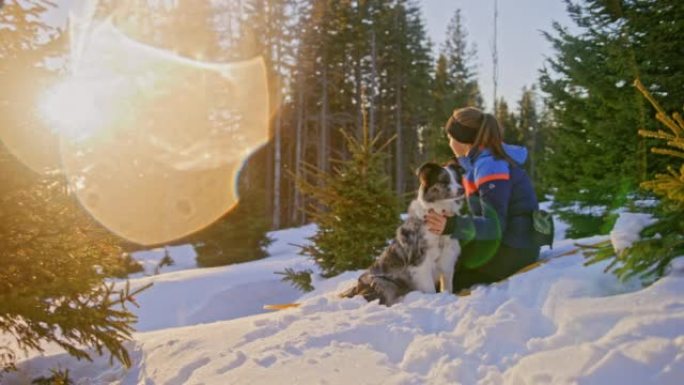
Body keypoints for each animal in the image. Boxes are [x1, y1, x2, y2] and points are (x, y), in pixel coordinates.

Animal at [340, 160, 468, 304]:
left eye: (458, 179)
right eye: (444, 180)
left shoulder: (447, 259)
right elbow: (430, 290)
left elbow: (447, 287)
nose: (462, 189)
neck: (439, 212)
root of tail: (357, 288)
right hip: (385, 285)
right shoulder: (420, 263)